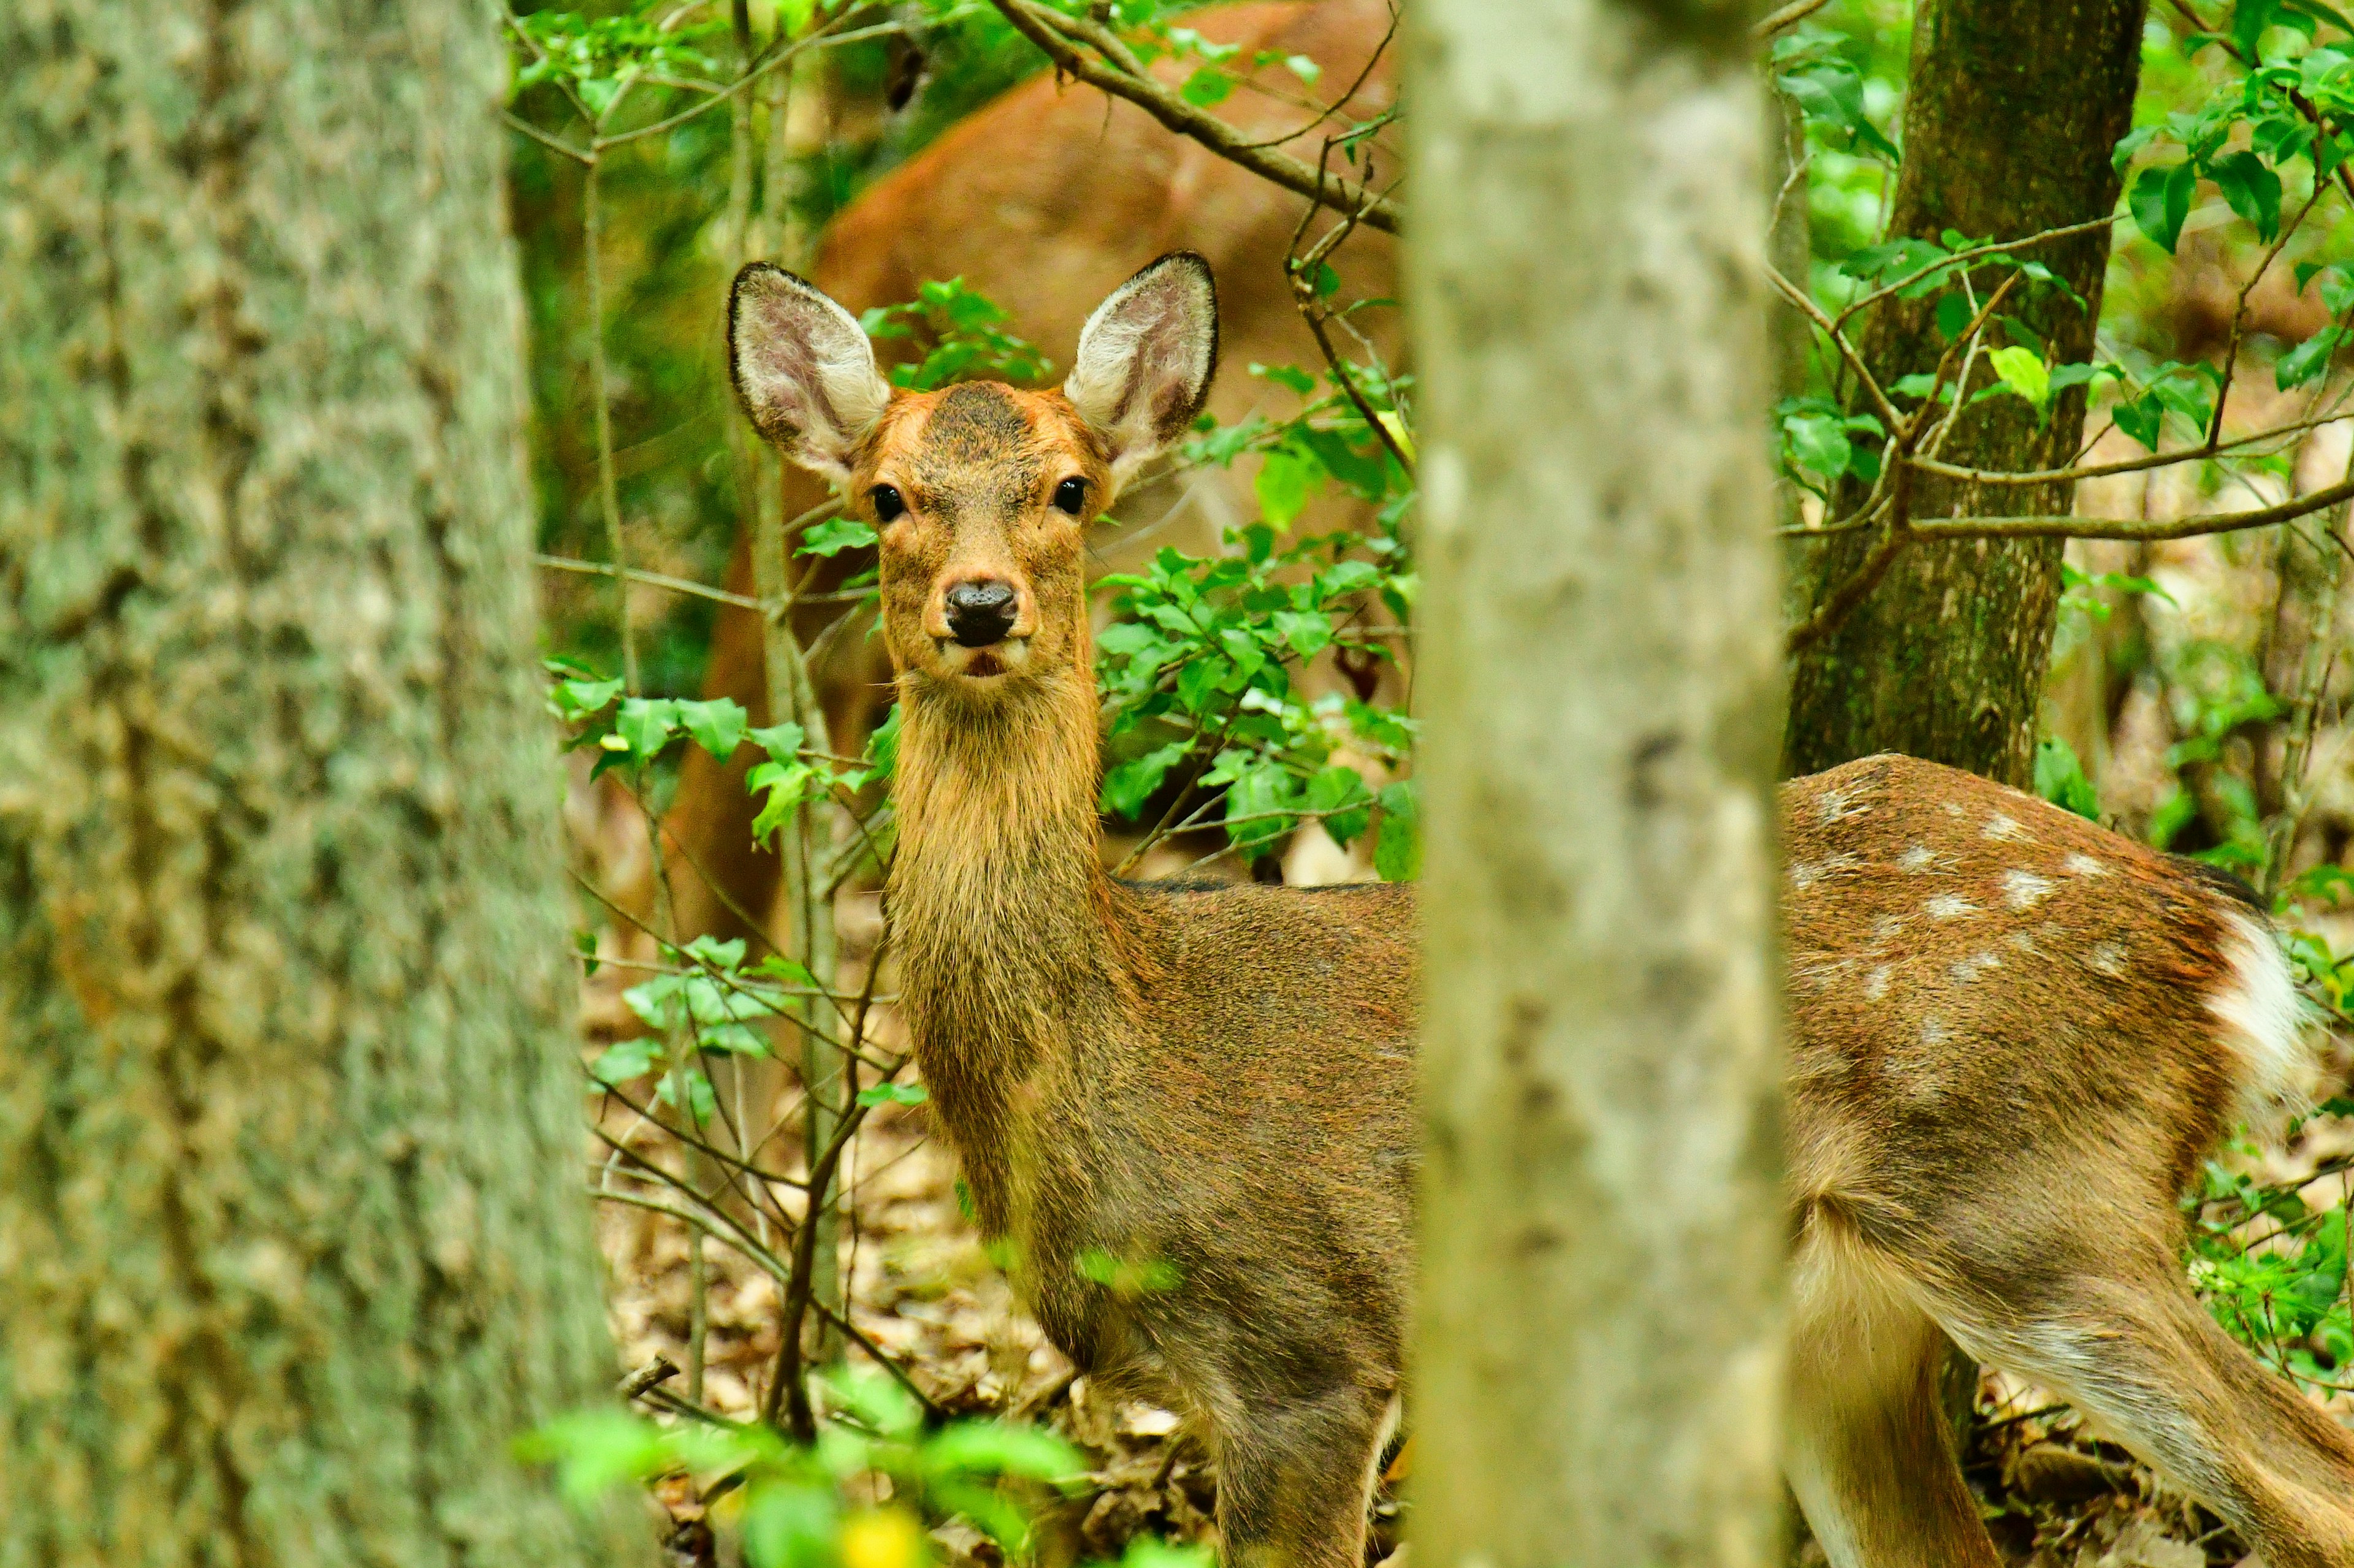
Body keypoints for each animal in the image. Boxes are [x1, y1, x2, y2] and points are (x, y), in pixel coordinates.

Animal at [720, 251, 2354, 1553]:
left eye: (1069, 487)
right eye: (886, 495)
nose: (980, 605)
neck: (1115, 1029)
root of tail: (2213, 924)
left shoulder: (1311, 1348)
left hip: (2031, 1193)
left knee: (2308, 1485)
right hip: (1850, 1318)